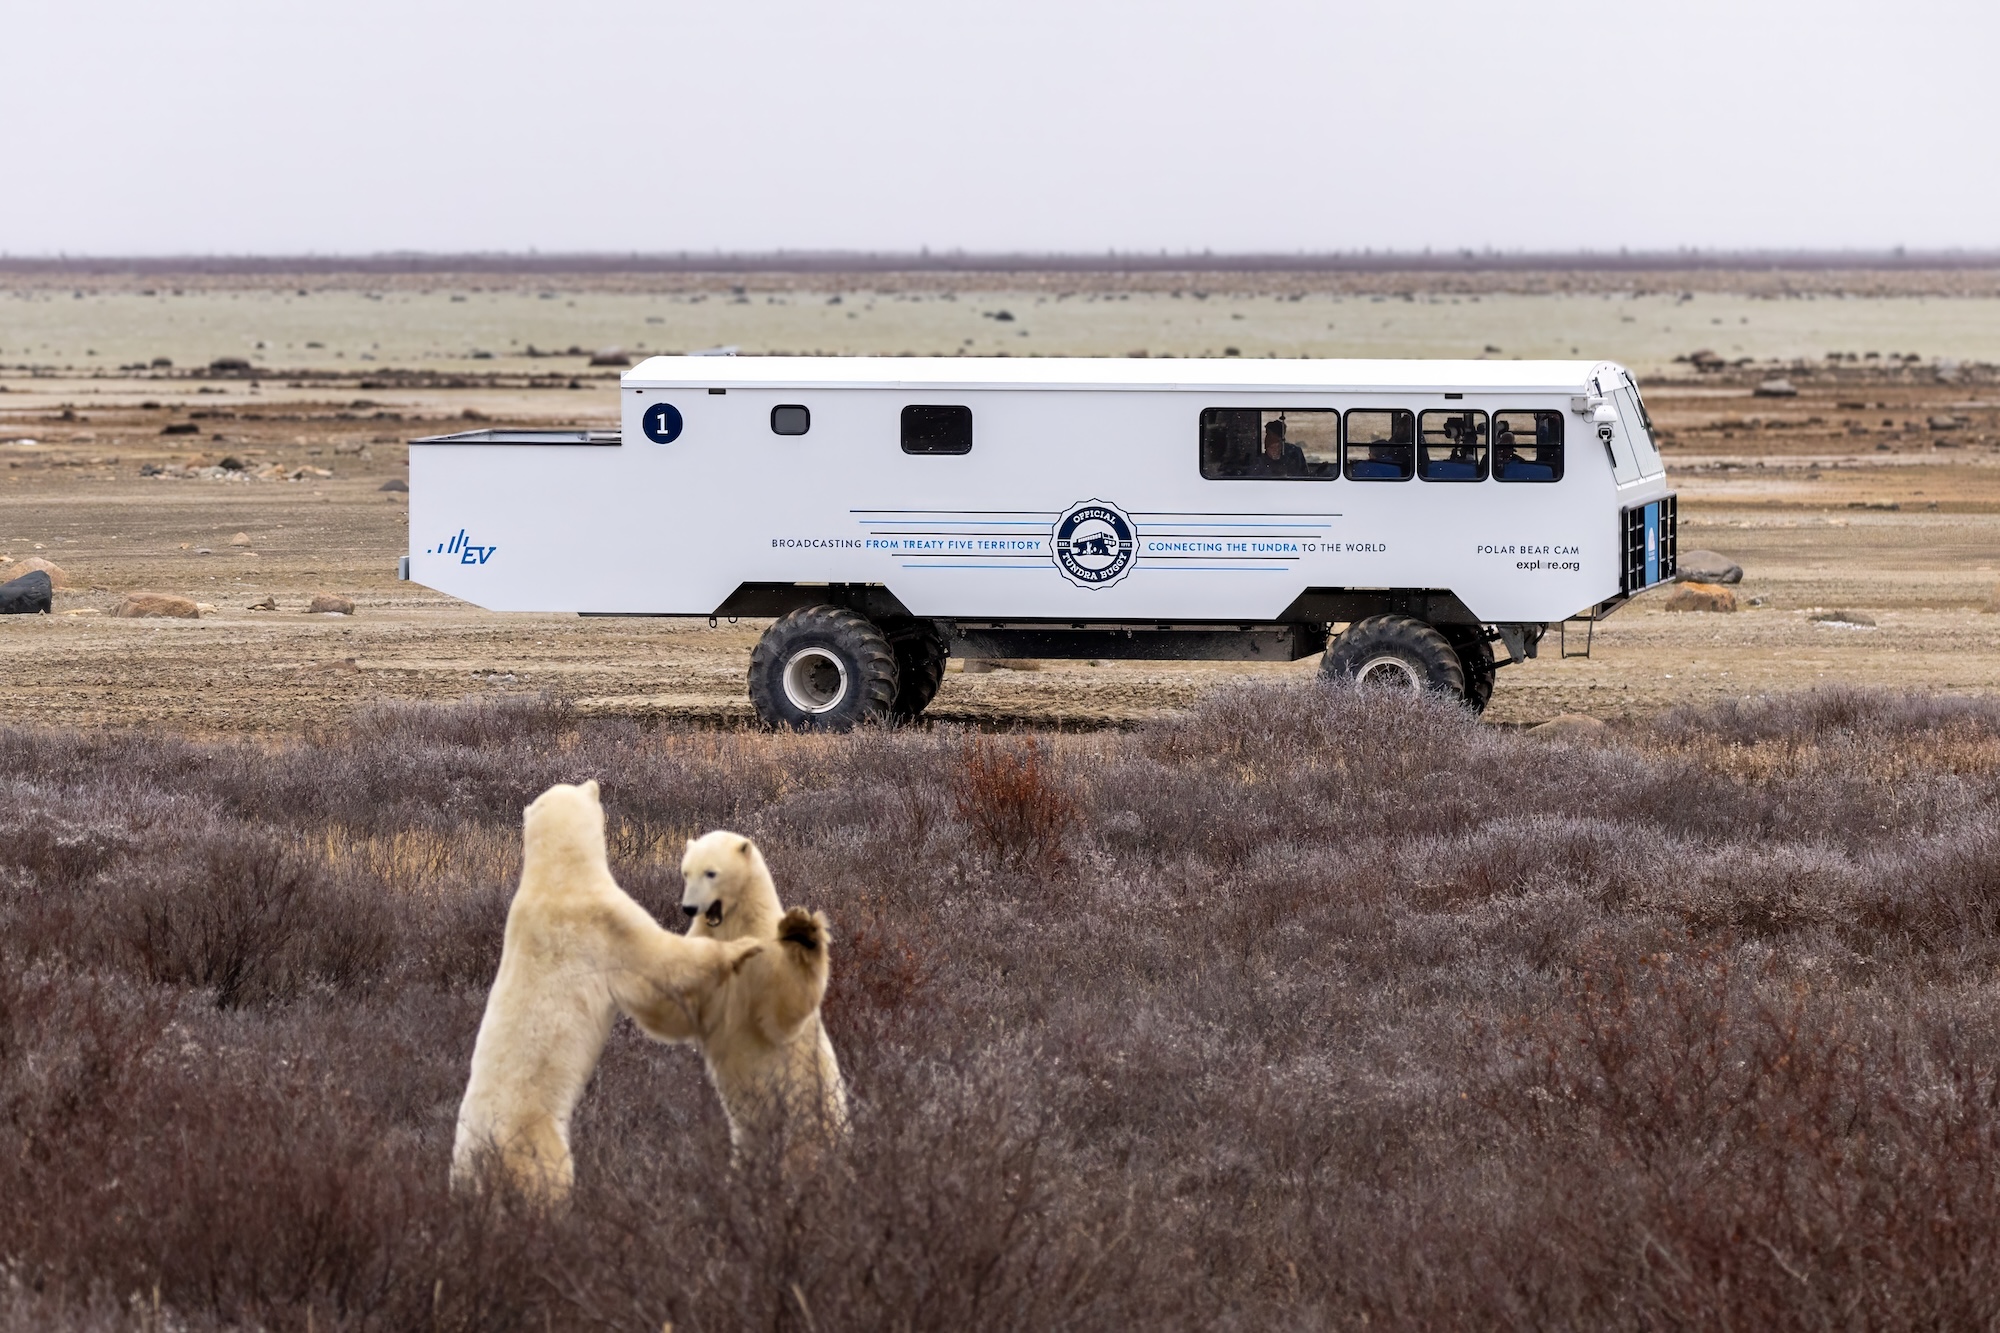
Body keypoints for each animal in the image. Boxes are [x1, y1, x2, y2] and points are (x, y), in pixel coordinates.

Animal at [452, 780, 762, 1202]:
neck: (557, 877)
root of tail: (482, 1155)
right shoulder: (607, 921)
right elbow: (662, 965)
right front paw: (743, 946)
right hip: (533, 1140)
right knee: (549, 1177)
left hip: (464, 1161)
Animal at [678, 830, 850, 1164]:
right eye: (685, 872)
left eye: (711, 872)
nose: (689, 908)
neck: (736, 923)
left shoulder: (767, 957)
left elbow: (781, 1012)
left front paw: (802, 931)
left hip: (815, 1099)